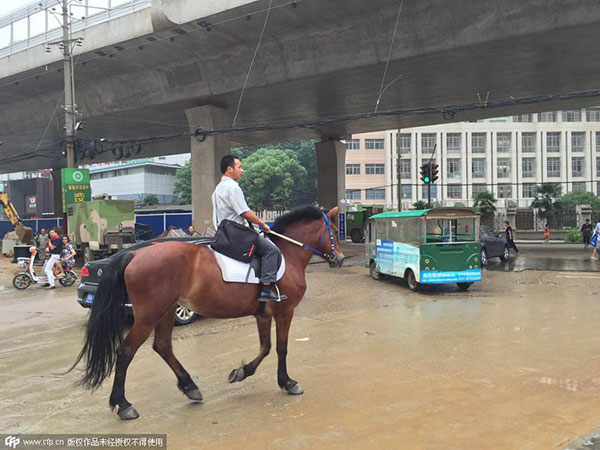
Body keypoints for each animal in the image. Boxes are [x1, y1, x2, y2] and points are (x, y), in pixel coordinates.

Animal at [70, 206, 342, 420]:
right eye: (335, 232)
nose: (338, 259)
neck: (287, 253)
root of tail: (135, 253)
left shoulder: (263, 315)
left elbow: (265, 348)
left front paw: (241, 372)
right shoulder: (285, 312)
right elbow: (281, 348)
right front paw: (288, 382)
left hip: (166, 311)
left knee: (163, 346)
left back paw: (190, 387)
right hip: (148, 316)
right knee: (126, 352)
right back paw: (124, 404)